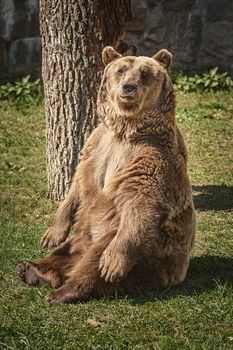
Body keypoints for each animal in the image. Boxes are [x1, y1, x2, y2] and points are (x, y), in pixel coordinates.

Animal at [15, 45, 195, 304]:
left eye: (145, 73)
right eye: (120, 70)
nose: (128, 87)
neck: (125, 130)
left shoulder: (152, 158)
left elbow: (142, 202)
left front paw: (112, 265)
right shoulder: (97, 146)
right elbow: (77, 186)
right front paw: (51, 234)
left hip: (152, 251)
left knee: (95, 260)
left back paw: (65, 290)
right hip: (82, 236)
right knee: (65, 252)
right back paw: (33, 269)